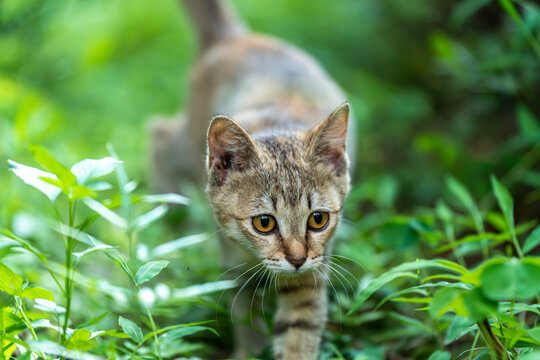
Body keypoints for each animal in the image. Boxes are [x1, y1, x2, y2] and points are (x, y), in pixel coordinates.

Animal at [152, 1, 354, 358]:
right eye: (264, 223)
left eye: (318, 219)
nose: (297, 259)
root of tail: (234, 37)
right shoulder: (233, 264)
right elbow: (244, 312)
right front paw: (250, 348)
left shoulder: (312, 272)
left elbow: (299, 327)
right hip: (189, 144)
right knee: (158, 132)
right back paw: (167, 210)